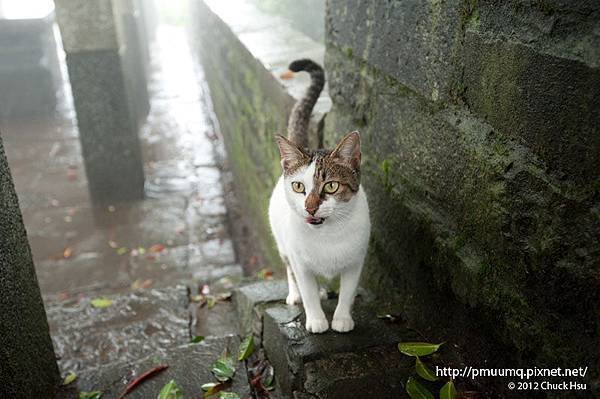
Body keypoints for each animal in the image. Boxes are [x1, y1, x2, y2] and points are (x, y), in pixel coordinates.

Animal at [268, 60, 370, 334]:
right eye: (298, 186)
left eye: (331, 186)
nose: (310, 207)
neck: (327, 234)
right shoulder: (300, 262)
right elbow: (307, 290)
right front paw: (316, 320)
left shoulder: (356, 260)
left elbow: (347, 291)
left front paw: (342, 319)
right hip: (282, 244)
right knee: (289, 269)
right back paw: (296, 294)